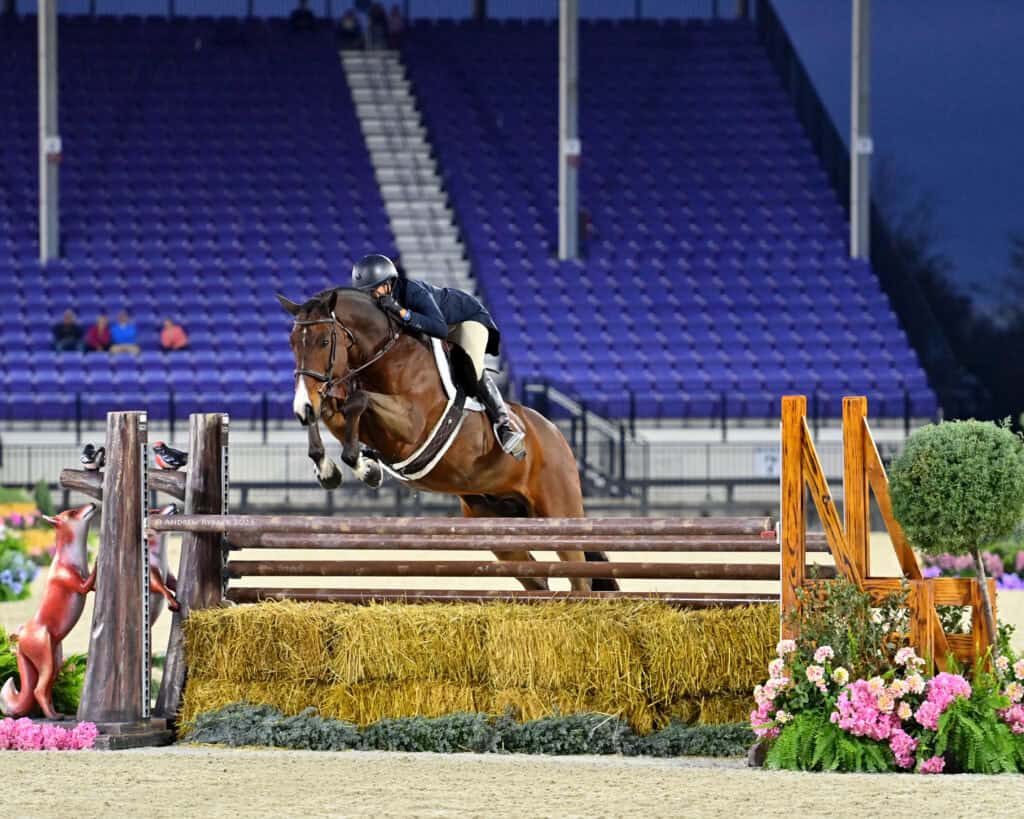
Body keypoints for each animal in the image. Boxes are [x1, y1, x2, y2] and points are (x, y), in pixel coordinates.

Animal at [276, 287, 617, 592]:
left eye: (324, 341)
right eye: (292, 343)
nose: (301, 406)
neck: (387, 356)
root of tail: (557, 436)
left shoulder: (410, 426)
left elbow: (358, 401)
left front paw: (364, 468)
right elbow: (333, 407)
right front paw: (330, 468)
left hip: (559, 513)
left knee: (579, 577)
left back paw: (509, 432)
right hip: (497, 524)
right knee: (537, 578)